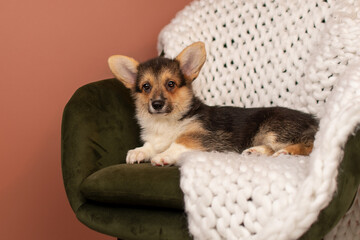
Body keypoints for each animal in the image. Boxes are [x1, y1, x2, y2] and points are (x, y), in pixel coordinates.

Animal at [107, 41, 318, 166]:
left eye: (171, 84)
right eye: (146, 87)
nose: (157, 104)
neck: (166, 121)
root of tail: (315, 120)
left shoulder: (204, 135)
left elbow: (180, 142)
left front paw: (163, 156)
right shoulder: (156, 139)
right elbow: (150, 145)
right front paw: (138, 152)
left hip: (273, 129)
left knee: (310, 145)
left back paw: (286, 152)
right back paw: (255, 151)